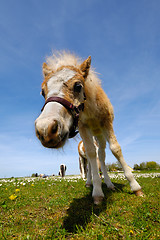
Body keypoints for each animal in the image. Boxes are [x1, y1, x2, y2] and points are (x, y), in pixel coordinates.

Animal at [35, 51, 144, 204]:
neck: (90, 110)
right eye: (43, 92)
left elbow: (115, 149)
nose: (46, 130)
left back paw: (109, 184)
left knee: (102, 156)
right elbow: (91, 153)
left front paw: (135, 187)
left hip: (100, 135)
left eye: (78, 86)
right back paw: (89, 182)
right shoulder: (83, 127)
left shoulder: (106, 122)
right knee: (91, 159)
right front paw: (97, 193)